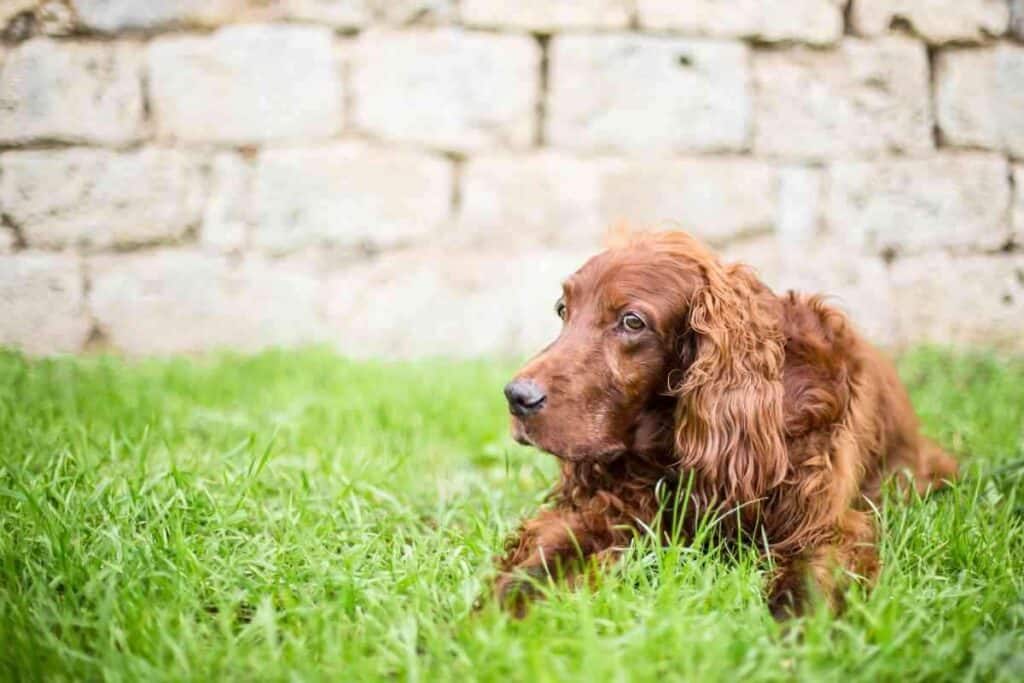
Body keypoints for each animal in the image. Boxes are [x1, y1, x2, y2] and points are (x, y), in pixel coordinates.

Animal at [491, 231, 954, 618]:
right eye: (563, 310)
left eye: (632, 321)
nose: (517, 397)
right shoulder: (613, 511)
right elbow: (543, 561)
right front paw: (495, 617)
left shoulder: (826, 526)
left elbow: (807, 589)